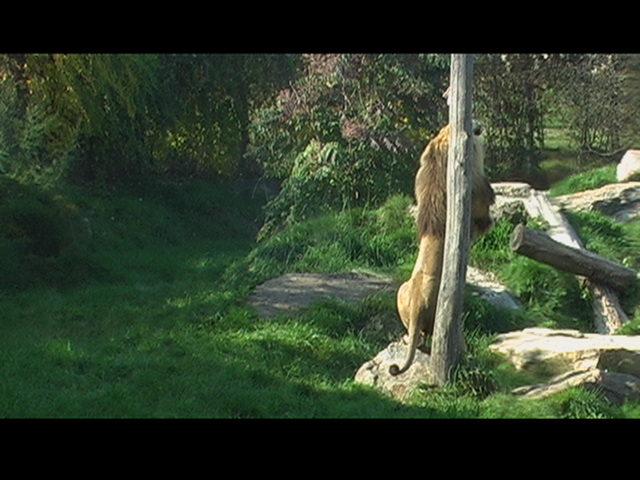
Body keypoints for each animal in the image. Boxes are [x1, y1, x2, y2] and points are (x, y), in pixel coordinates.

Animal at [384, 122, 496, 376]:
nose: (479, 126)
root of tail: (417, 306)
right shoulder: (477, 209)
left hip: (401, 292)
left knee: (418, 339)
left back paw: (406, 339)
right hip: (452, 316)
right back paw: (464, 354)